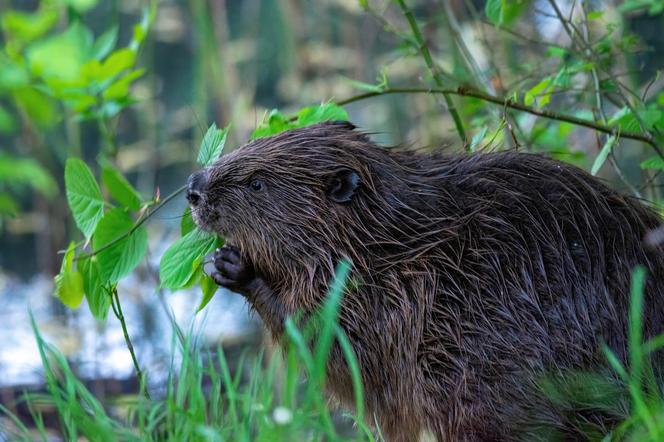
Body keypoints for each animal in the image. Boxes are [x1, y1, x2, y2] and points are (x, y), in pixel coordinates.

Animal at [184, 121, 660, 442]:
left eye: (257, 183)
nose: (192, 187)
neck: (395, 240)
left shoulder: (388, 303)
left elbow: (340, 355)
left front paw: (231, 265)